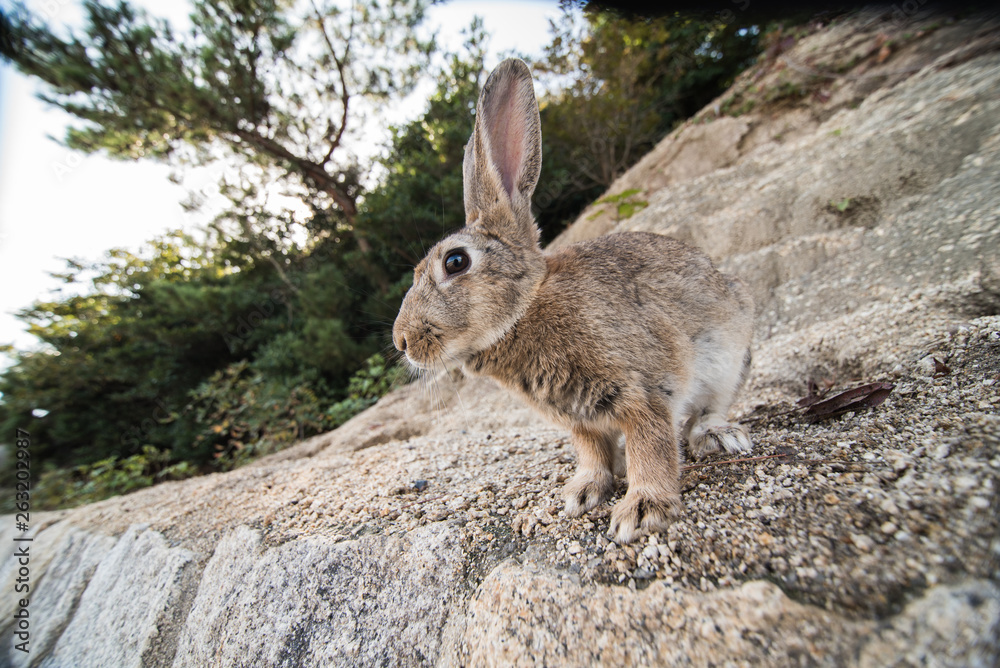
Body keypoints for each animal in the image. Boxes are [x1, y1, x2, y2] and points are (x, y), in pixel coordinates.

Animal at [392, 58, 755, 544]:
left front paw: (642, 509)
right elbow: (593, 454)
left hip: (730, 354)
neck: (525, 311)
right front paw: (581, 494)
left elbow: (652, 444)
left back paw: (718, 438)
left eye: (455, 261)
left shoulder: (643, 390)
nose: (402, 342)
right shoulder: (581, 421)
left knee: (708, 410)